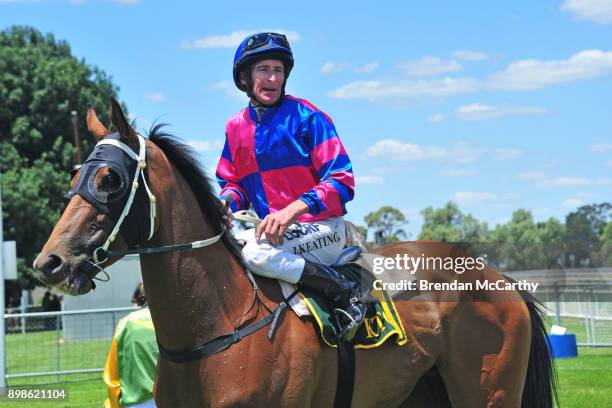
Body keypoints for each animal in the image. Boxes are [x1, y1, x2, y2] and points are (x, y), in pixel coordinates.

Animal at [35, 99, 556, 408]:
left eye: (110, 179)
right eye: (77, 174)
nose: (49, 262)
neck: (217, 325)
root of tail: (500, 279)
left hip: (489, 393)